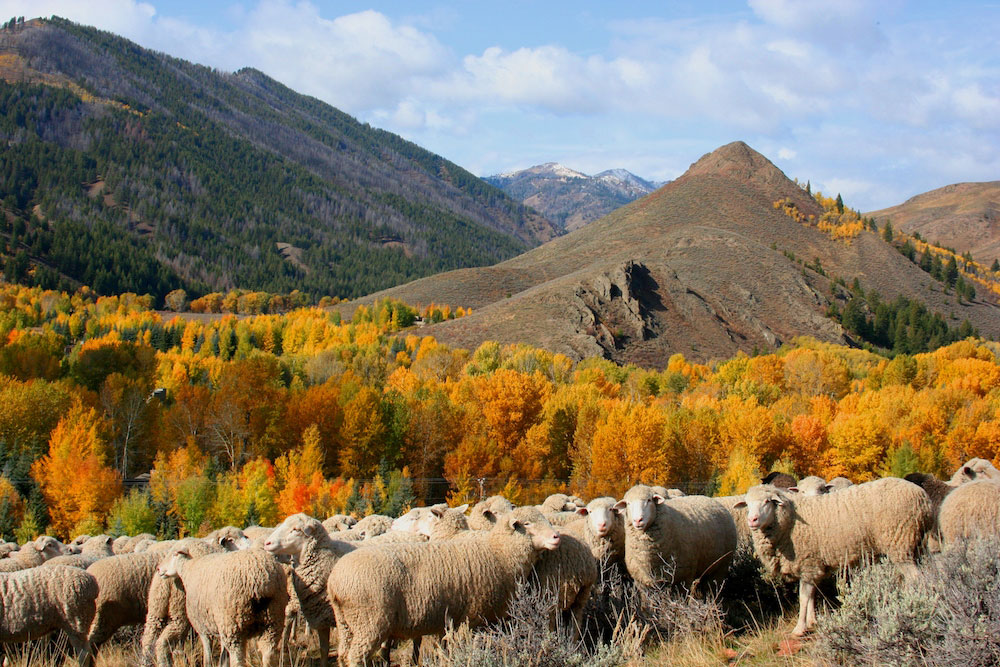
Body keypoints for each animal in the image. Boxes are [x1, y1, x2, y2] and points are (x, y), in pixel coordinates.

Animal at [157, 544, 290, 664]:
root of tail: (260, 579)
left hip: (232, 623)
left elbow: (208, 655)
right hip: (273, 619)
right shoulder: (219, 627)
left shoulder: (202, 627)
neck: (190, 568)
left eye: (174, 554)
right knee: (268, 655)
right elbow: (223, 656)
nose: (158, 569)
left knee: (237, 659)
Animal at [328, 504, 564, 664]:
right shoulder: (473, 616)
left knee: (343, 654)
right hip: (369, 622)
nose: (556, 537)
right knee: (355, 657)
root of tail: (335, 581)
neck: (499, 552)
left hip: (347, 623)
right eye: (527, 523)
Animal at [612, 486, 740, 588]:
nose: (638, 520)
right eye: (628, 503)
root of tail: (711, 500)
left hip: (721, 567)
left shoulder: (682, 578)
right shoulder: (643, 583)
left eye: (649, 500)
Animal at [736, 478, 928, 640]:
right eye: (747, 504)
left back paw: (909, 604)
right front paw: (812, 621)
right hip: (915, 546)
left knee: (916, 579)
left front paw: (799, 629)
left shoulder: (807, 562)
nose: (752, 520)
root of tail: (924, 499)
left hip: (900, 542)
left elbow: (804, 597)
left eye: (768, 501)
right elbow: (812, 594)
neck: (788, 522)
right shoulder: (814, 565)